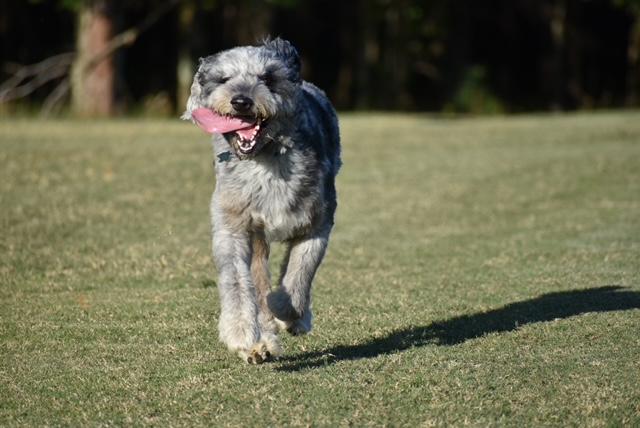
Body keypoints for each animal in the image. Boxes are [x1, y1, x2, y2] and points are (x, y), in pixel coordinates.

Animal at [182, 38, 341, 364]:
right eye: (224, 79)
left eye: (267, 78)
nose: (241, 101)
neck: (264, 160)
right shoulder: (233, 225)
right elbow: (238, 281)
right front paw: (241, 333)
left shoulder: (317, 223)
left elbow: (300, 272)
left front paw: (286, 309)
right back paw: (262, 343)